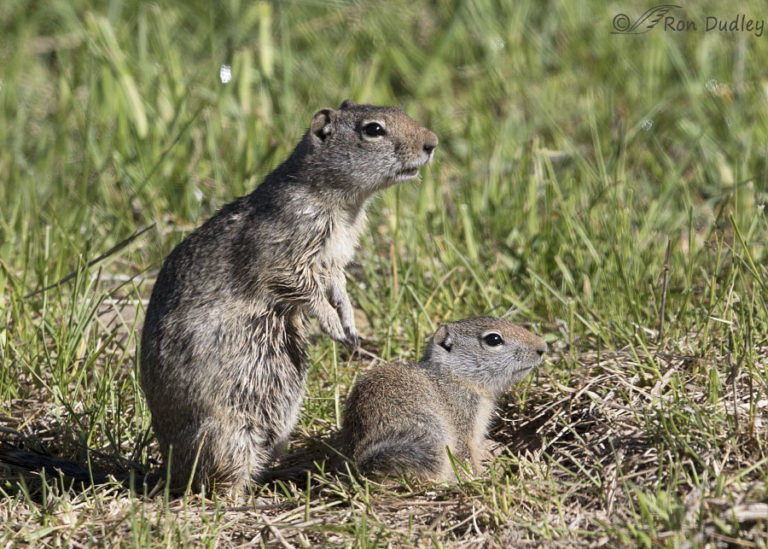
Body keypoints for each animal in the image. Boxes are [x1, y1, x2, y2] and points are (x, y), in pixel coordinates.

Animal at [139, 99, 438, 492]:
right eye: (373, 129)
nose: (432, 142)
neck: (341, 203)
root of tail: (168, 470)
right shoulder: (289, 249)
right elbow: (303, 288)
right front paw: (334, 327)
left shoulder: (334, 259)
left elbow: (337, 286)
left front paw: (350, 326)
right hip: (228, 432)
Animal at [342, 316, 544, 480]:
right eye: (493, 339)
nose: (542, 346)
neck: (453, 374)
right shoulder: (463, 422)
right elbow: (466, 455)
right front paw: (479, 476)